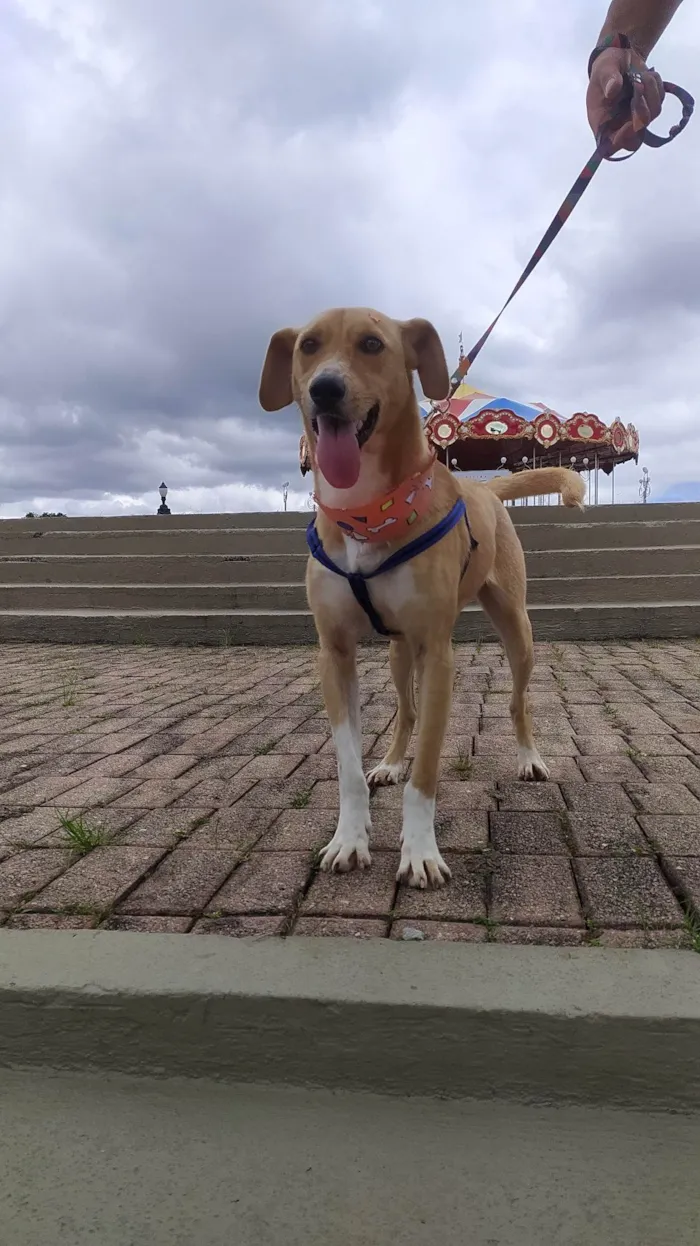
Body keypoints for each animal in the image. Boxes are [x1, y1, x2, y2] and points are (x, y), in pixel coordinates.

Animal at [257, 316, 582, 892]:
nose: (325, 389)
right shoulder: (335, 653)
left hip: (516, 630)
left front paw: (421, 852)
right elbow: (347, 764)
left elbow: (427, 770)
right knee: (405, 713)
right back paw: (388, 763)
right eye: (308, 346)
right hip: (396, 651)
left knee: (518, 700)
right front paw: (350, 838)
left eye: (372, 344)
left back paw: (529, 757)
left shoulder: (437, 653)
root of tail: (488, 489)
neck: (367, 511)